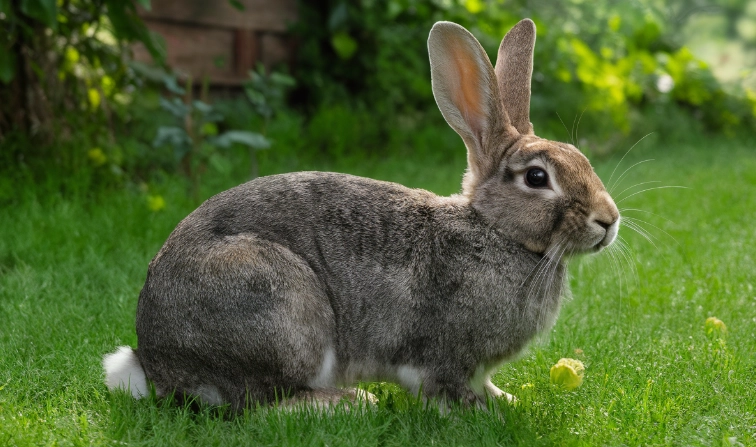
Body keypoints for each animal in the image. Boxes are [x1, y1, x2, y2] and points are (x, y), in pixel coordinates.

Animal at [103, 19, 620, 411]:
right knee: (261, 402)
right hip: (279, 307)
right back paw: (351, 403)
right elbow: (446, 388)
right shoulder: (443, 357)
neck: (493, 230)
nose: (609, 220)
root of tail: (158, 363)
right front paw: (484, 411)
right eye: (536, 178)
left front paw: (505, 398)